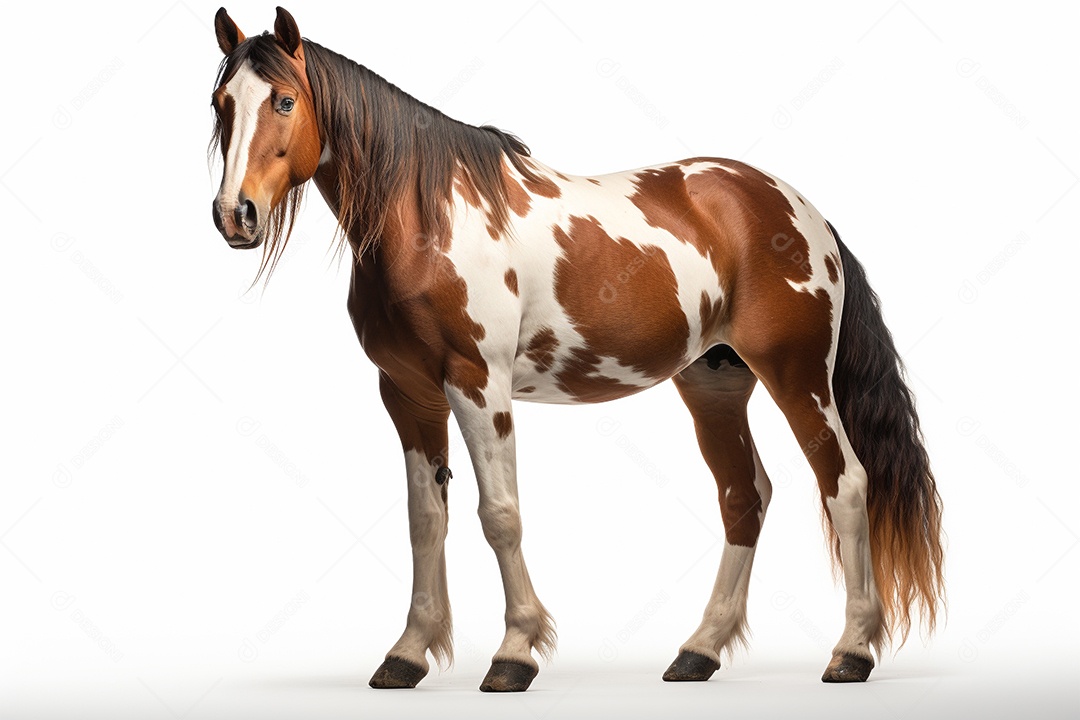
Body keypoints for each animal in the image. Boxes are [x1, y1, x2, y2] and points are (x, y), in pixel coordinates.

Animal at [209, 7, 945, 692]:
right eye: (221, 103)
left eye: (284, 100)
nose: (233, 216)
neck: (429, 218)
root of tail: (798, 210)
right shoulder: (407, 392)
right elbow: (426, 520)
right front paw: (408, 654)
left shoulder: (477, 384)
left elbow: (499, 515)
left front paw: (514, 654)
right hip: (715, 381)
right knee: (744, 495)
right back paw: (698, 651)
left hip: (798, 375)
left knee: (846, 485)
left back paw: (851, 652)